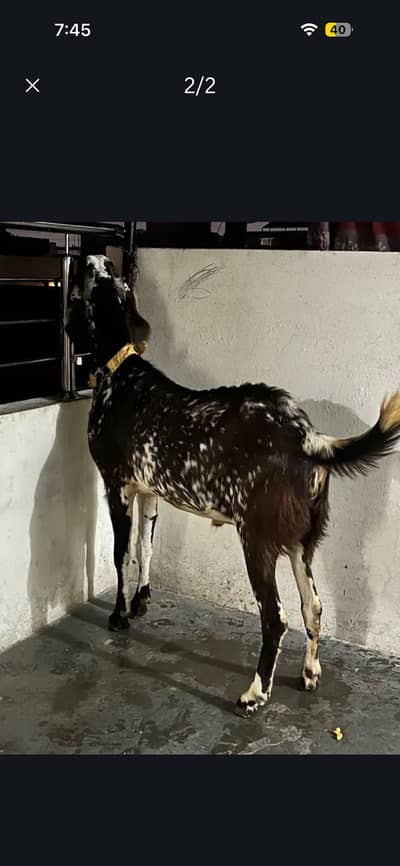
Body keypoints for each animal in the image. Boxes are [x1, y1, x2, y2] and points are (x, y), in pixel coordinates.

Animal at [66, 254, 400, 716]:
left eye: (96, 277)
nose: (90, 257)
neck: (123, 371)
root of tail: (306, 436)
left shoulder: (116, 485)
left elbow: (120, 555)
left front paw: (119, 616)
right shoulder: (150, 493)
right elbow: (144, 549)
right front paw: (141, 601)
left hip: (257, 541)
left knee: (275, 618)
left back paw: (255, 693)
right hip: (300, 543)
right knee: (312, 606)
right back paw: (309, 674)